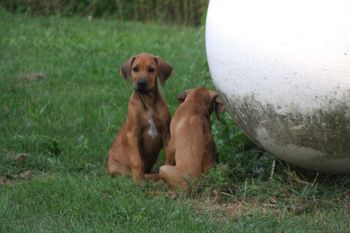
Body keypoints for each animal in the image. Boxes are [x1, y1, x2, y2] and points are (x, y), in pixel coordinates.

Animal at [106, 52, 172, 182]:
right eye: (135, 69)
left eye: (151, 69)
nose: (141, 83)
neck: (148, 101)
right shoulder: (133, 134)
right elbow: (136, 160)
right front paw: (138, 180)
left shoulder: (165, 133)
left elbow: (168, 156)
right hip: (117, 168)